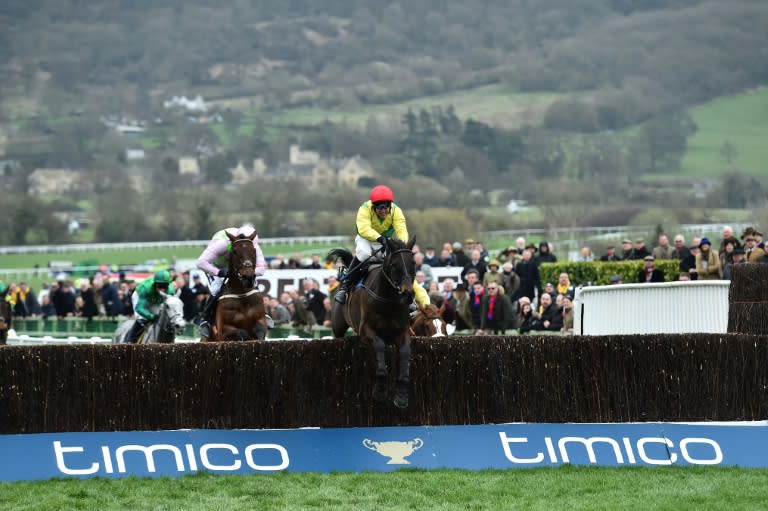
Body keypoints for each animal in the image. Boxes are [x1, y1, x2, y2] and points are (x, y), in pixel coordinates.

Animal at [328, 238, 416, 410]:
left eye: (413, 263)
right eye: (394, 265)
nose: (408, 294)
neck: (388, 301)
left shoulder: (403, 332)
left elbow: (405, 354)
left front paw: (401, 396)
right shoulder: (366, 331)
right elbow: (380, 348)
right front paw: (380, 391)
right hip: (338, 326)